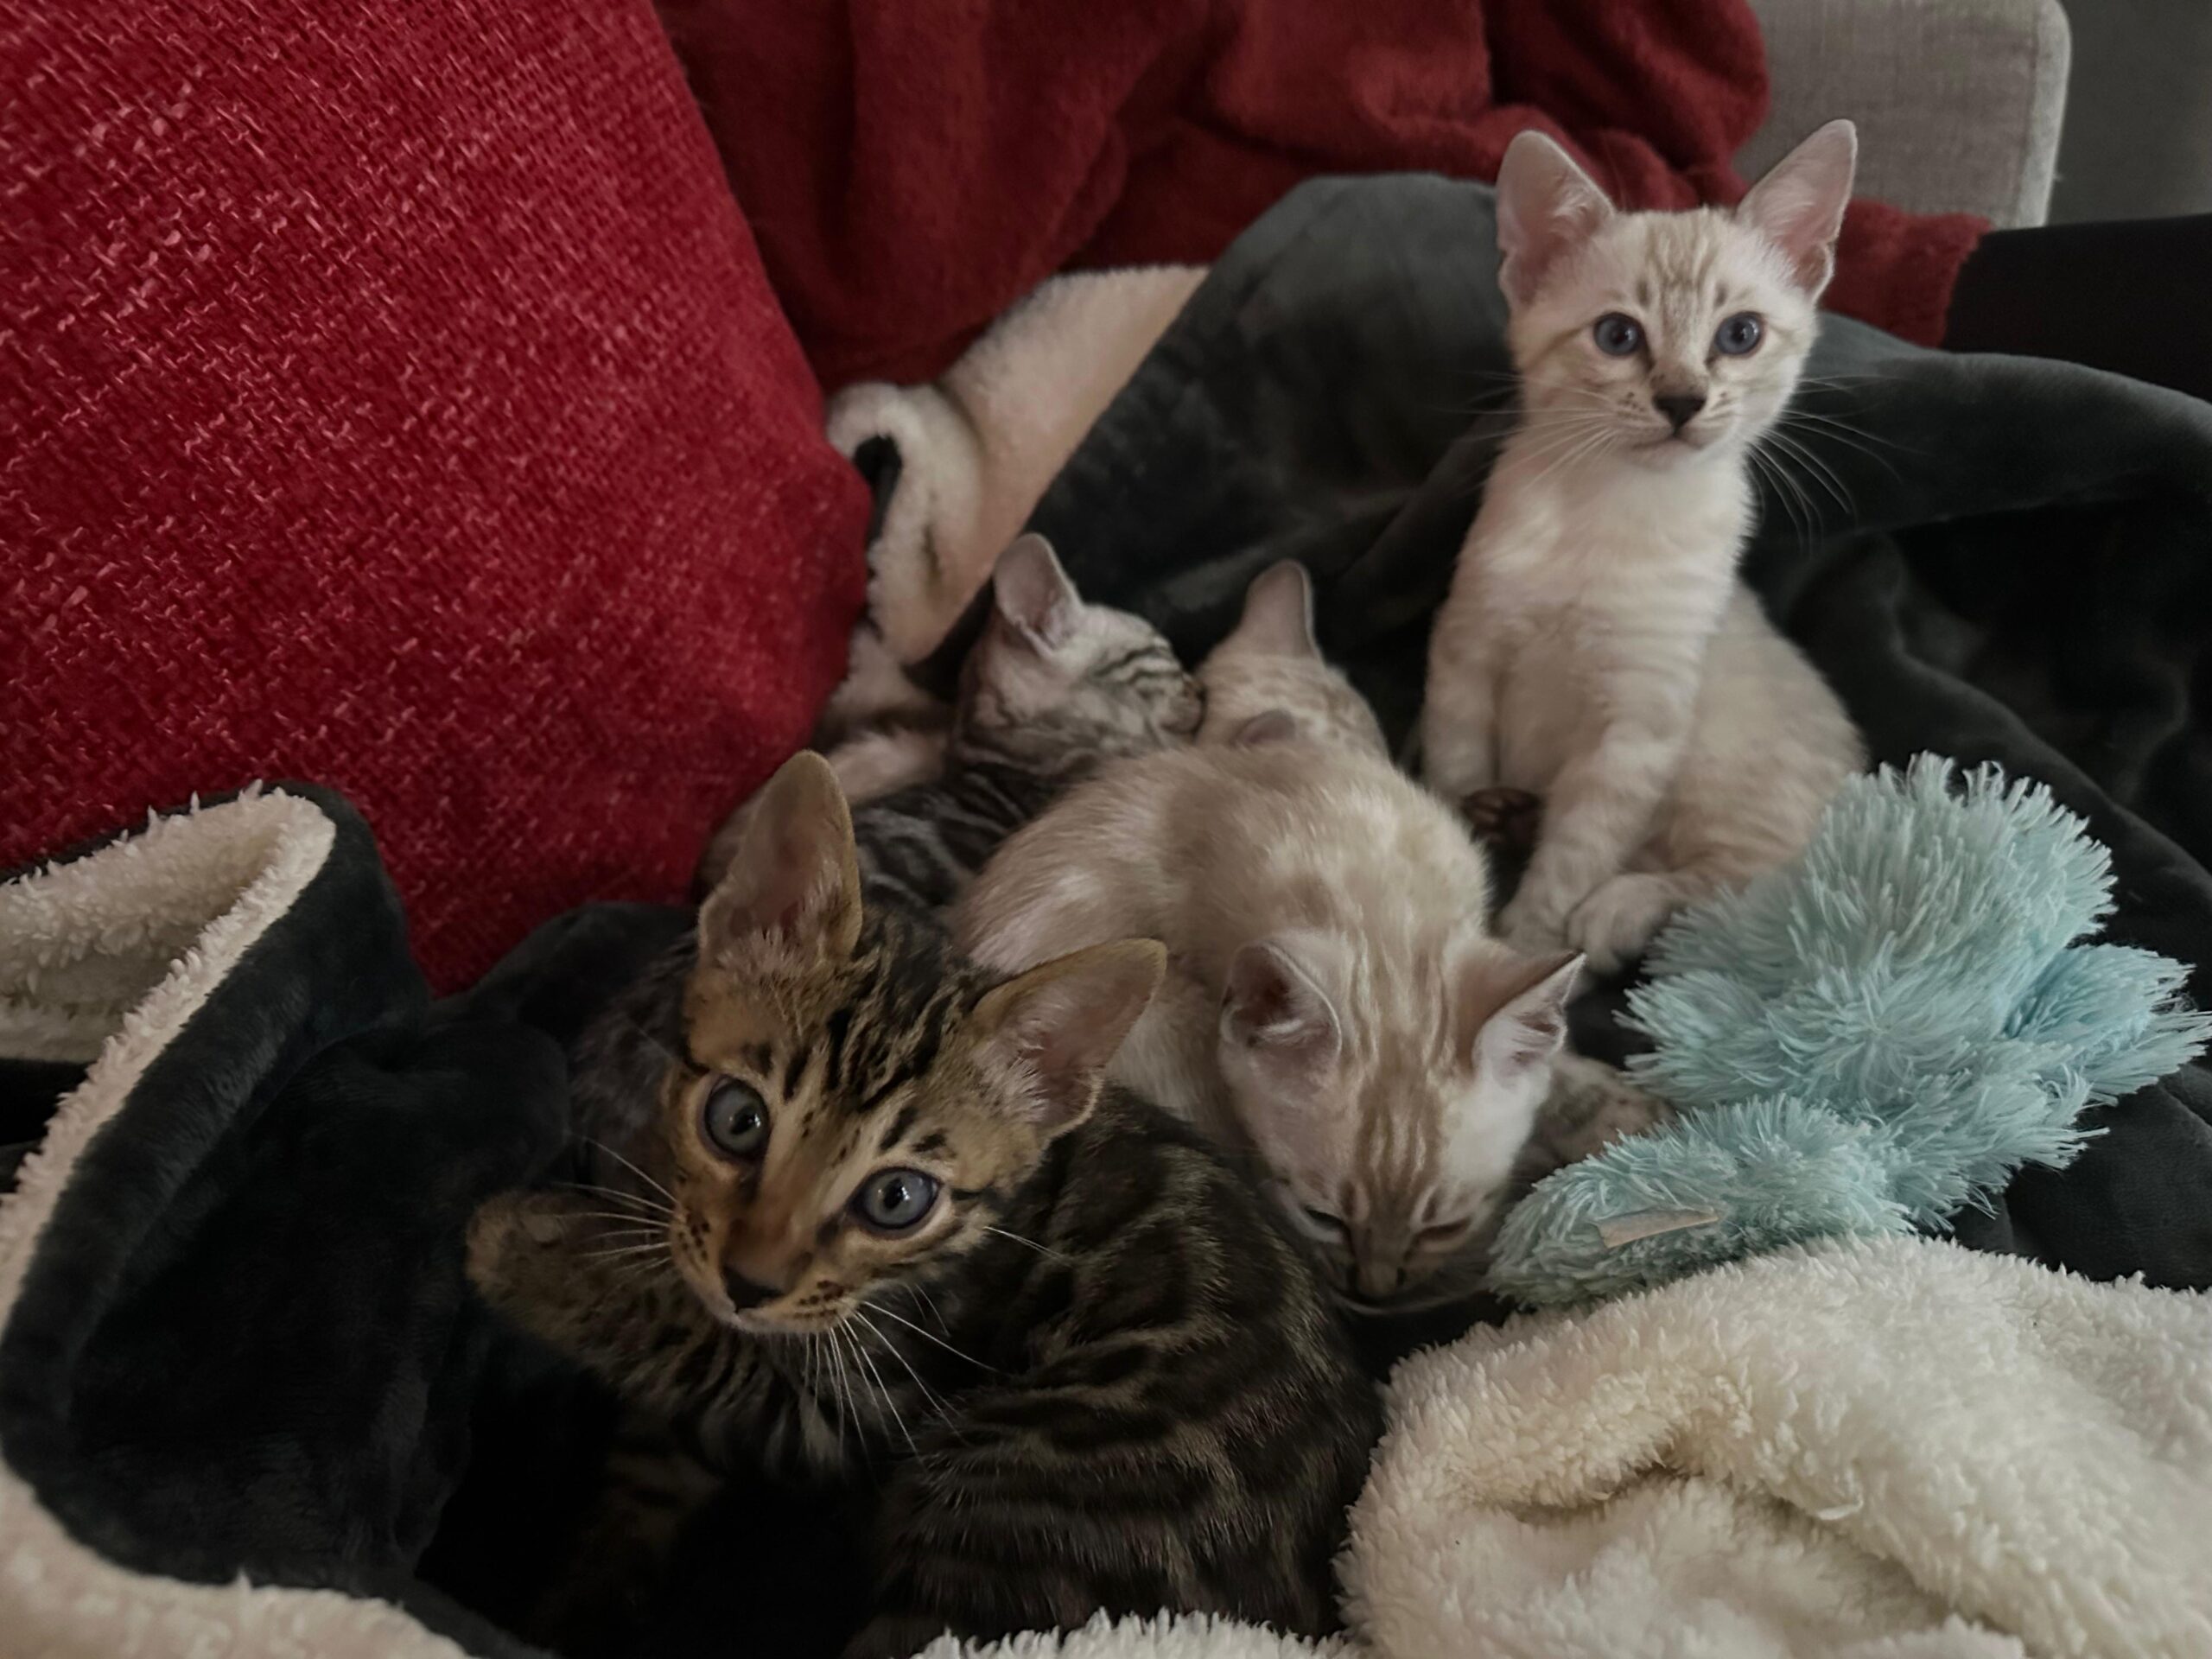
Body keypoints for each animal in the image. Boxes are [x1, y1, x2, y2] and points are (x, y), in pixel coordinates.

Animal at [472, 753, 1380, 1659]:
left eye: (897, 1198)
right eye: (737, 1119)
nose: (749, 1282)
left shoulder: (851, 1416)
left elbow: (707, 1362)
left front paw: (527, 1252)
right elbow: (650, 1464)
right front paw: (580, 1595)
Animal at [1420, 121, 1867, 975]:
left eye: (1739, 335)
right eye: (1618, 335)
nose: (1683, 400)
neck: (1611, 510)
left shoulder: (1635, 733)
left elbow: (1572, 861)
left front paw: (1524, 953)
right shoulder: (1466, 655)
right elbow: (1455, 771)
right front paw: (1473, 862)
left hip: (1726, 771)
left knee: (1750, 892)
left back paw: (1617, 915)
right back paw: (1516, 821)